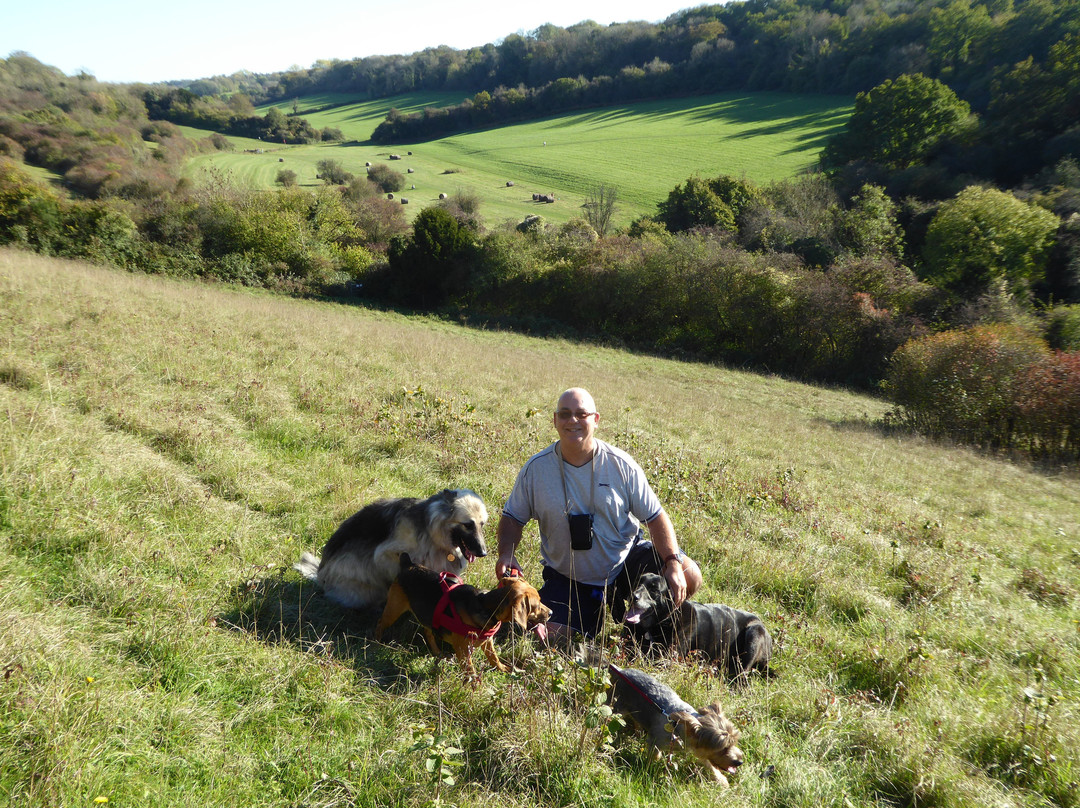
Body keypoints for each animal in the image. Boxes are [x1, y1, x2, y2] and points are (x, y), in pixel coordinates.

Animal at [291, 488, 486, 609]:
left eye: (482, 524)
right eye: (468, 525)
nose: (483, 553)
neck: (432, 532)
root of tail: (320, 575)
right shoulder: (386, 556)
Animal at [378, 557, 548, 674]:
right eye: (537, 604)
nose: (551, 613)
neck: (486, 605)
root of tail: (408, 564)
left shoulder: (487, 642)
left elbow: (494, 658)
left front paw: (504, 669)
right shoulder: (462, 649)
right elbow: (470, 670)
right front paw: (474, 687)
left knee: (428, 631)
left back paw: (437, 652)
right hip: (393, 610)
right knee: (380, 624)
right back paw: (377, 642)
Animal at [622, 570, 773, 678]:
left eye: (654, 590)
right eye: (637, 582)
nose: (633, 596)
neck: (664, 620)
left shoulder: (665, 658)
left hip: (754, 633)